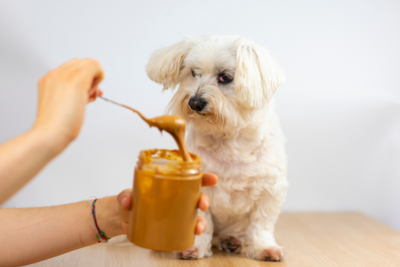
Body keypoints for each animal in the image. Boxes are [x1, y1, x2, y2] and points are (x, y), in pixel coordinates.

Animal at [146, 35, 288, 262]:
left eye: (225, 77)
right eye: (193, 73)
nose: (195, 102)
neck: (228, 138)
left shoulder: (270, 190)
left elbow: (261, 225)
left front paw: (264, 248)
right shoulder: (199, 189)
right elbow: (202, 224)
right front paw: (196, 248)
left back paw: (232, 241)